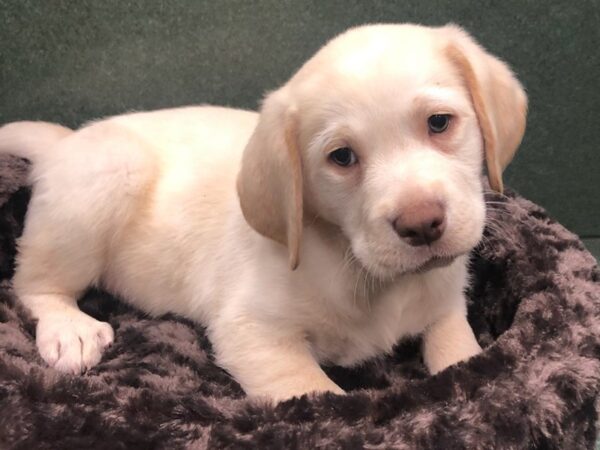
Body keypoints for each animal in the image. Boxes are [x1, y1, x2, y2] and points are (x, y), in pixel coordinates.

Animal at [0, 23, 524, 400]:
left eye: (439, 123)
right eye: (342, 157)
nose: (422, 224)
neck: (367, 273)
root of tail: (65, 142)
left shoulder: (446, 305)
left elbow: (459, 352)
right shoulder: (253, 332)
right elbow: (315, 395)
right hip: (106, 174)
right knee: (34, 283)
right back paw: (70, 328)